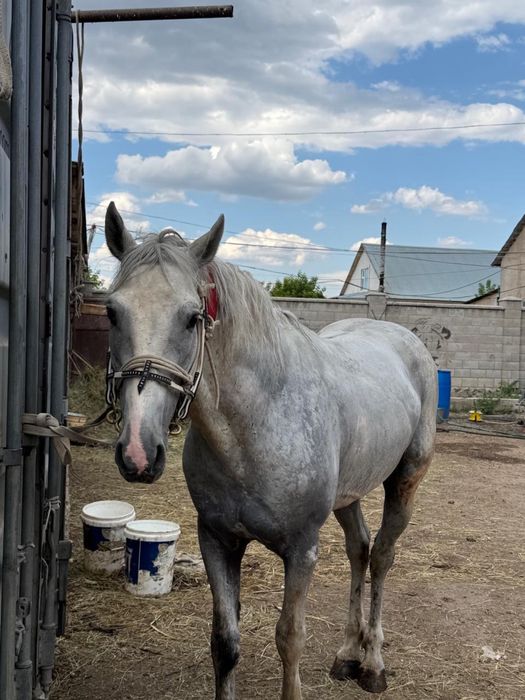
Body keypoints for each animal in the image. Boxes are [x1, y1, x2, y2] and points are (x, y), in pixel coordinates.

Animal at [104, 201, 437, 699]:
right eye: (112, 312)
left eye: (192, 317)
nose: (139, 454)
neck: (256, 425)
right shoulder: (217, 540)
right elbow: (225, 641)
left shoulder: (301, 551)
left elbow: (290, 638)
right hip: (349, 494)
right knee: (359, 551)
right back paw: (347, 655)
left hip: (405, 482)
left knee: (380, 557)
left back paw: (373, 664)